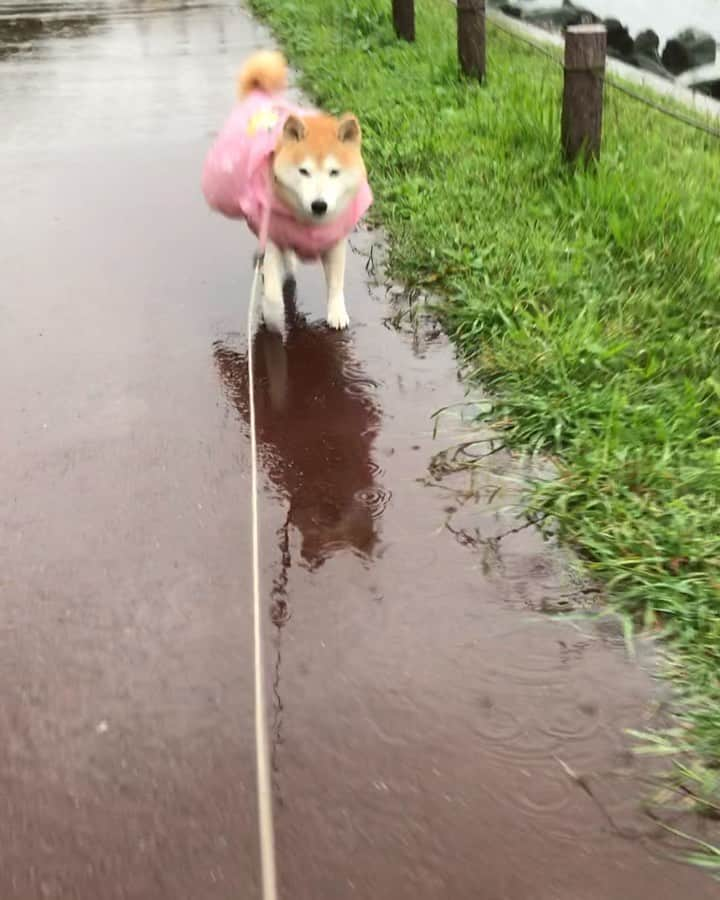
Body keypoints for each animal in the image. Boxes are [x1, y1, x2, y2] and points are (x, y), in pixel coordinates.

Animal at [201, 50, 372, 330]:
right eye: (304, 171)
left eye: (334, 172)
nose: (319, 205)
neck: (308, 221)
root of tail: (258, 93)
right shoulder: (271, 235)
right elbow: (271, 290)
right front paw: (272, 316)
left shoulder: (335, 241)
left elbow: (336, 282)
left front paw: (337, 312)